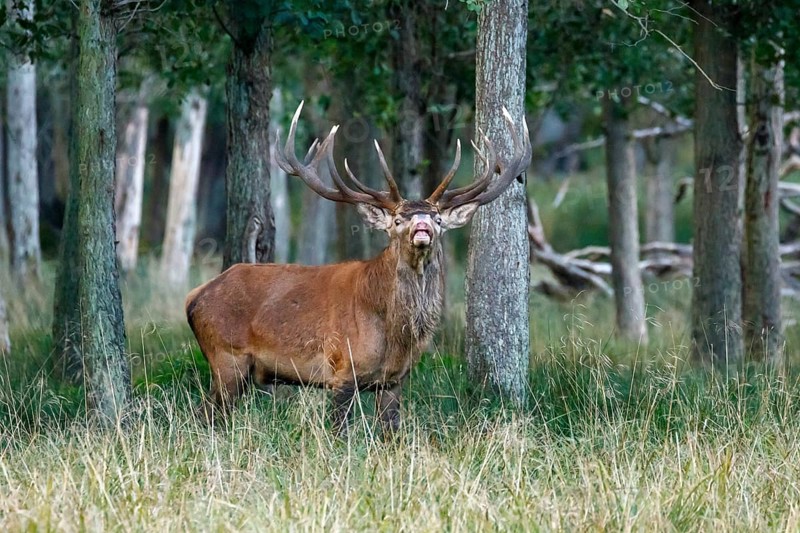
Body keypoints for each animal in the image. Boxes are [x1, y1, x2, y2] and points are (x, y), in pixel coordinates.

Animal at [185, 101, 531, 433]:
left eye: (437, 218)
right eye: (398, 219)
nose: (421, 225)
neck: (394, 333)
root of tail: (194, 298)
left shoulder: (393, 381)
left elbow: (392, 432)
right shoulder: (342, 368)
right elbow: (340, 433)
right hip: (227, 356)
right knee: (206, 415)